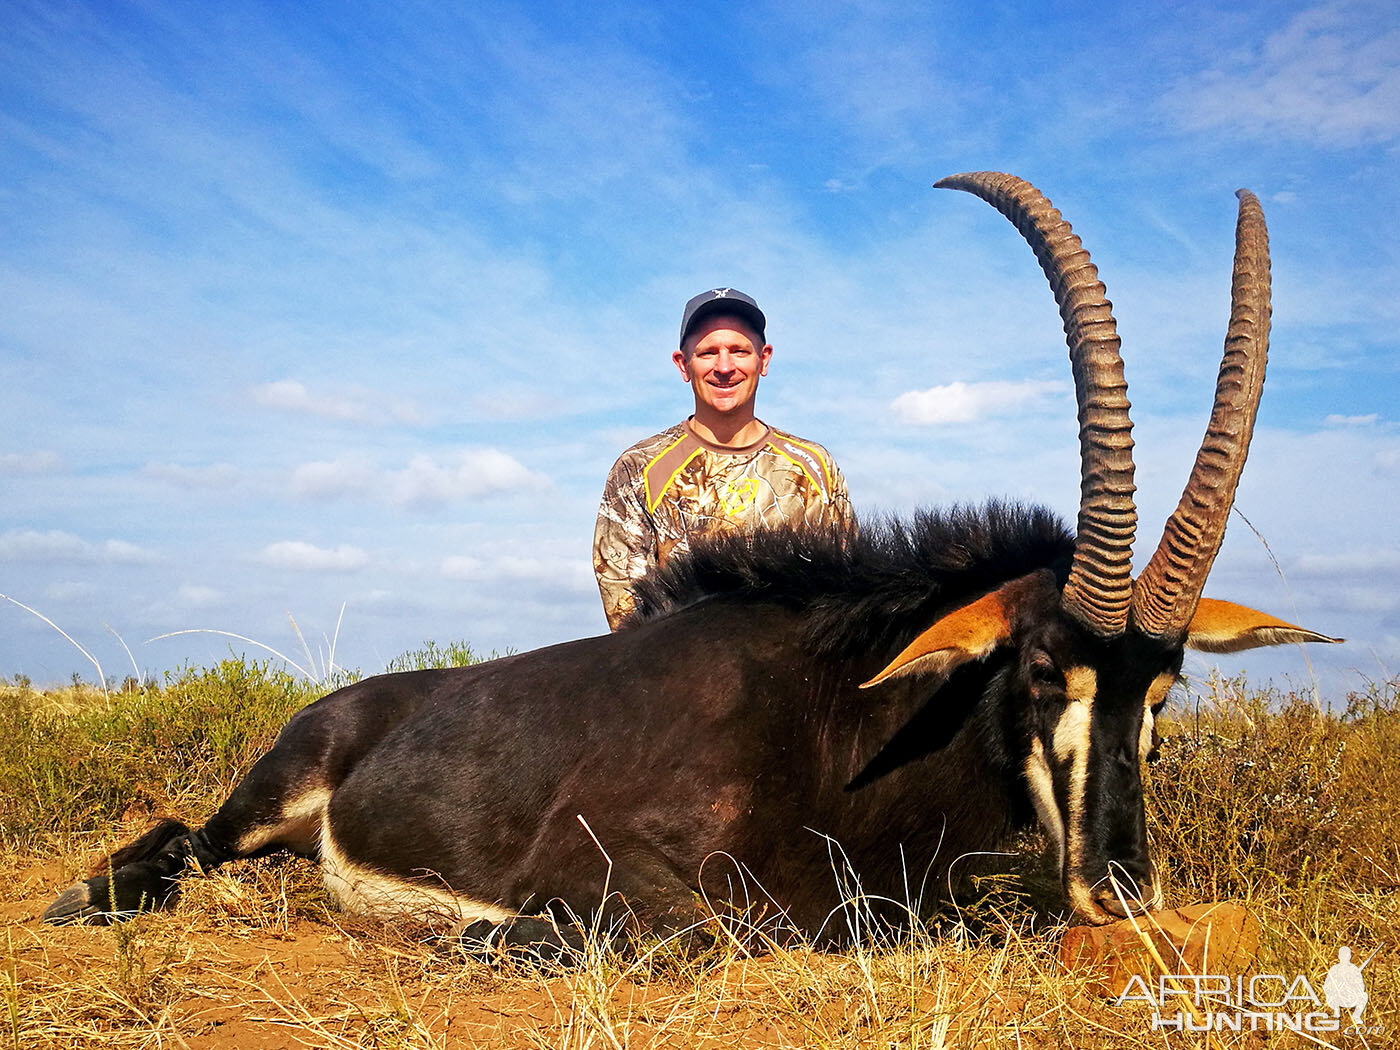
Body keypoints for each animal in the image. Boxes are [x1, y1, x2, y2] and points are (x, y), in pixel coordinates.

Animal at [40, 175, 1332, 952]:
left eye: (1161, 695)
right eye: (1037, 673)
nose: (1115, 891)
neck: (838, 724)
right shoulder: (608, 871)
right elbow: (678, 926)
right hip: (268, 797)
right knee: (183, 841)